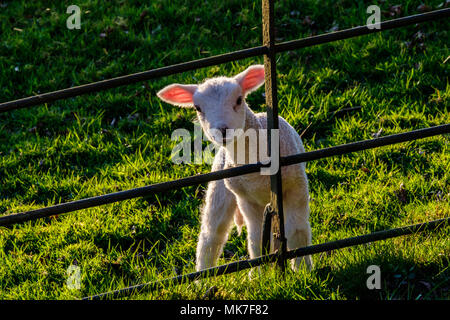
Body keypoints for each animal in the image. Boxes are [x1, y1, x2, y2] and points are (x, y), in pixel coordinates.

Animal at [156, 65, 312, 272]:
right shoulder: (247, 200)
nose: (222, 130)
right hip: (220, 190)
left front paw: (304, 270)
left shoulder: (295, 188)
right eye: (198, 108)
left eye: (239, 100)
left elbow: (297, 232)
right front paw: (261, 273)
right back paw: (204, 276)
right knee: (211, 236)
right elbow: (255, 240)